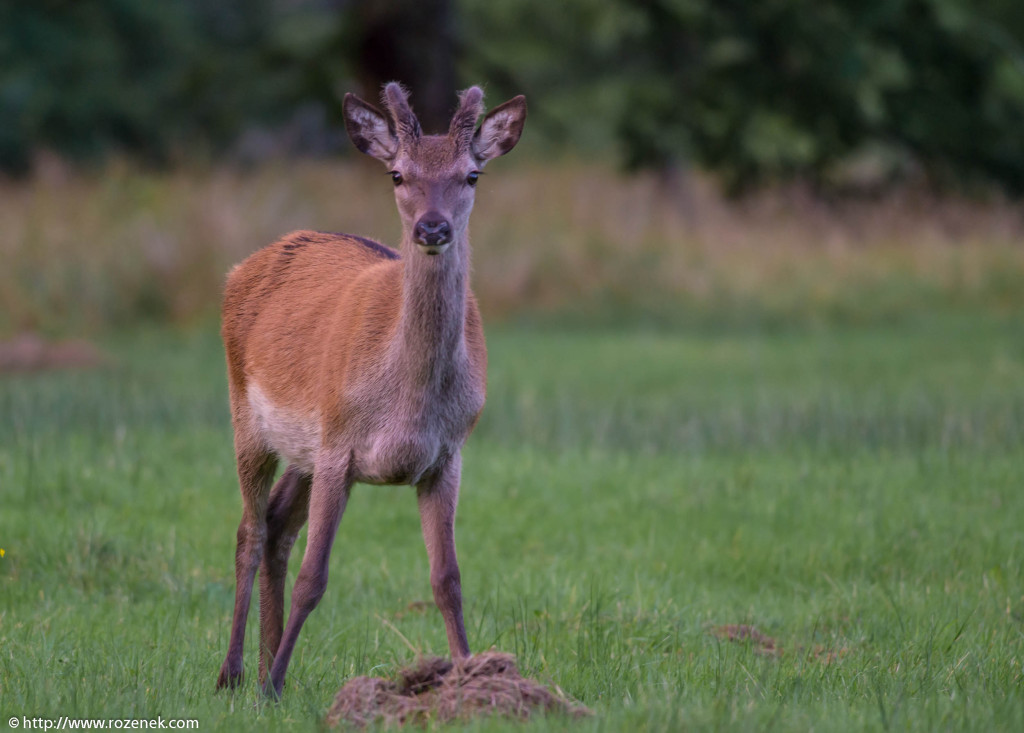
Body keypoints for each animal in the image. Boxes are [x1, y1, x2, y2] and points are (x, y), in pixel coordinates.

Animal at [211, 82, 524, 696]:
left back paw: (264, 664)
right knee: (249, 531)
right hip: (247, 415)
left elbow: (447, 579)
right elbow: (314, 577)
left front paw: (471, 677)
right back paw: (235, 675)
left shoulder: (447, 456)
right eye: (398, 174)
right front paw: (270, 688)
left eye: (472, 175)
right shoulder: (339, 446)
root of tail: (243, 267)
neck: (405, 404)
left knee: (277, 524)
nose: (432, 229)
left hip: (303, 449)